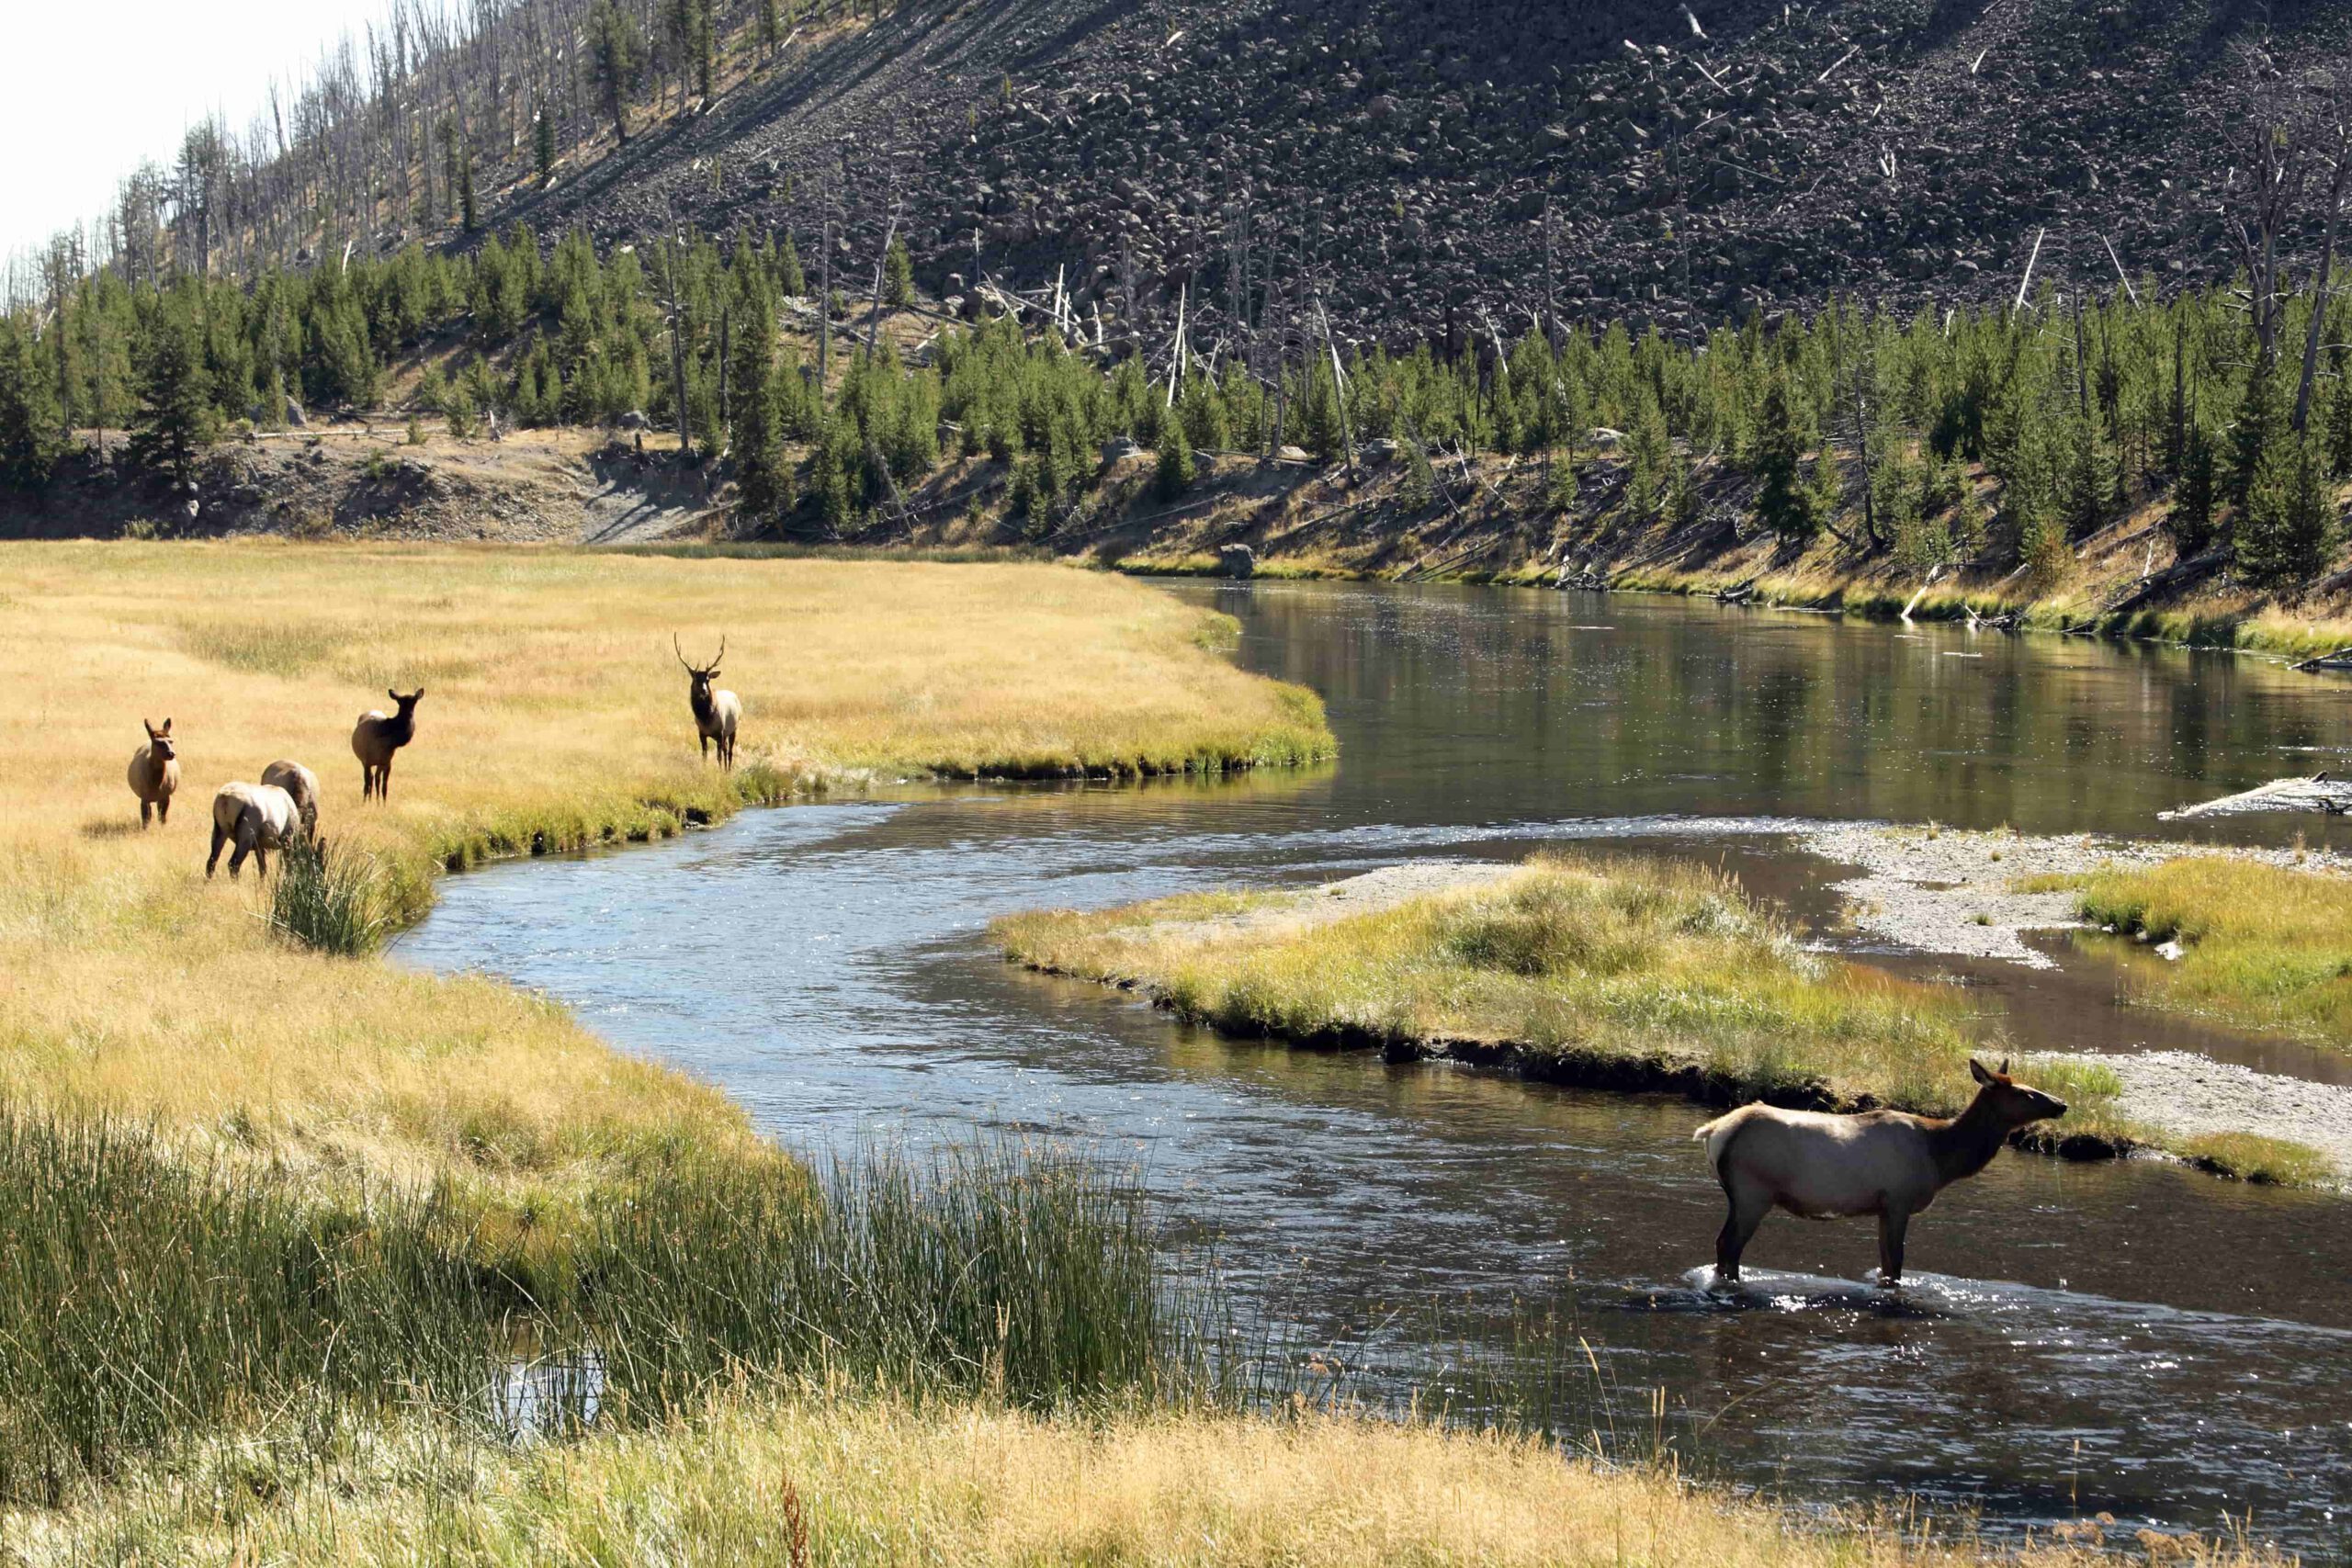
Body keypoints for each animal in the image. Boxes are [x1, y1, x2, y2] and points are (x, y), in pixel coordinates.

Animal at [677, 629, 738, 766]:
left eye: (708, 679)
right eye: (695, 679)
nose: (704, 691)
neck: (706, 718)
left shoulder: (720, 732)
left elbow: (718, 756)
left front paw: (719, 769)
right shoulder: (701, 733)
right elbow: (704, 755)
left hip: (734, 729)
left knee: (729, 752)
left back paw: (728, 769)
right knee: (726, 750)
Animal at [1702, 1062, 2069, 1297]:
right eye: (2025, 1093)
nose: (2062, 1104)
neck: (1942, 1157)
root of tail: (1714, 1131)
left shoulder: (1882, 1208)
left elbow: (1885, 1262)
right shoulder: (1898, 1201)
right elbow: (1895, 1263)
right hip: (1753, 1193)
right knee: (1728, 1245)